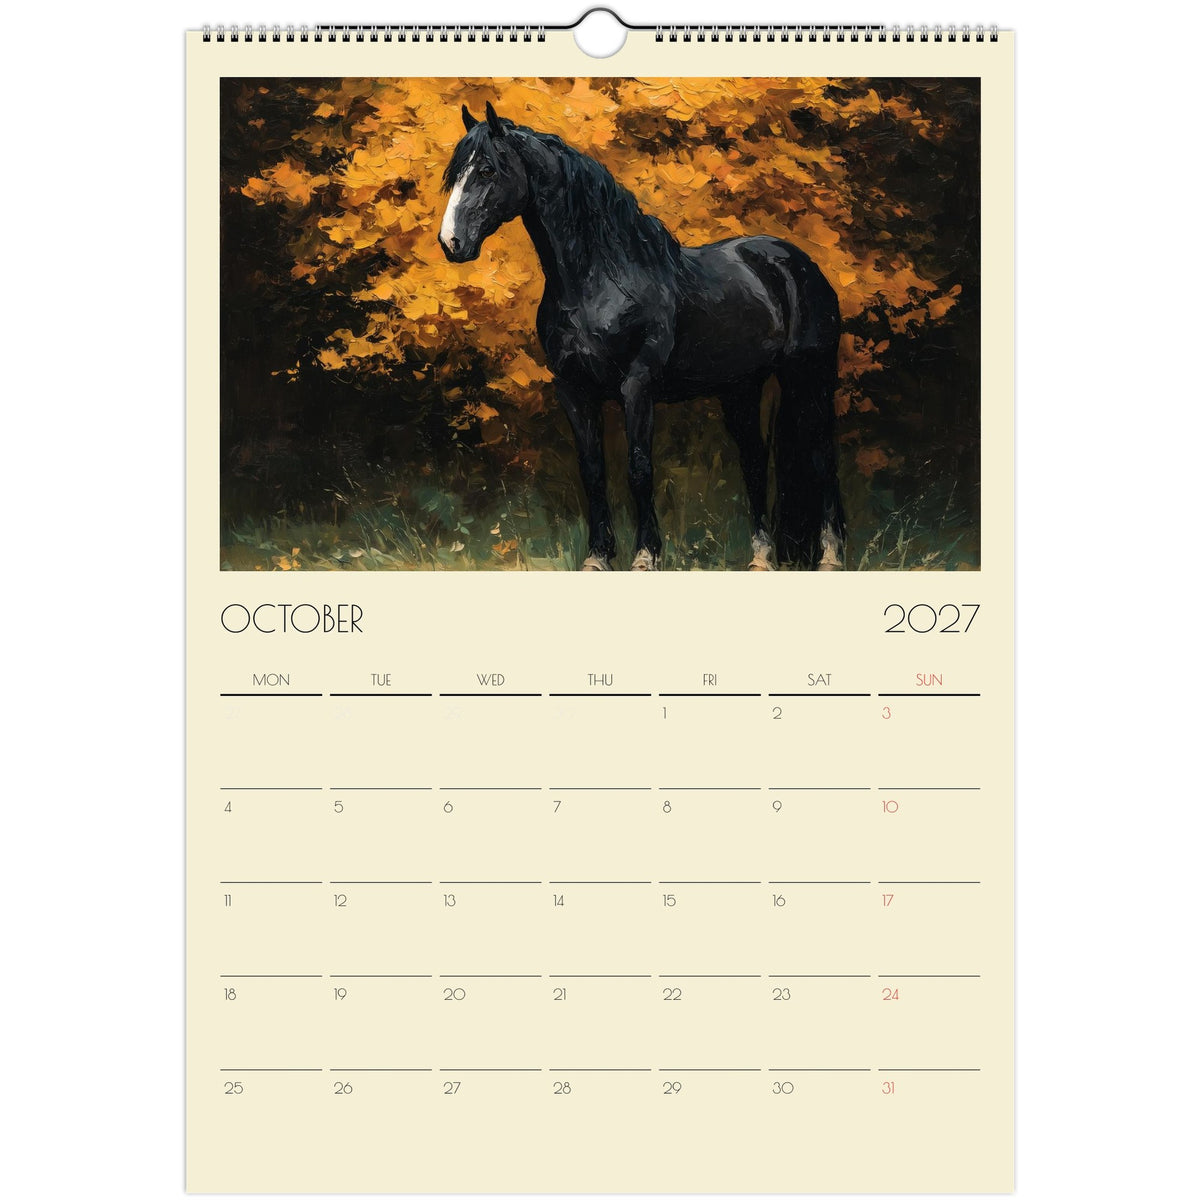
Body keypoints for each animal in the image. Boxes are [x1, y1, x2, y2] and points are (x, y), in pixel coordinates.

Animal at [438, 102, 846, 571]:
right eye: (455, 174)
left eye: (487, 169)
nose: (451, 242)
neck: (602, 279)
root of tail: (797, 262)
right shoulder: (573, 389)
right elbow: (592, 471)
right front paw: (597, 557)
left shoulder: (637, 386)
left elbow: (638, 469)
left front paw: (645, 555)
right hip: (741, 389)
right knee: (755, 459)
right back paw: (760, 558)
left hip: (810, 378)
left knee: (822, 458)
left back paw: (831, 555)